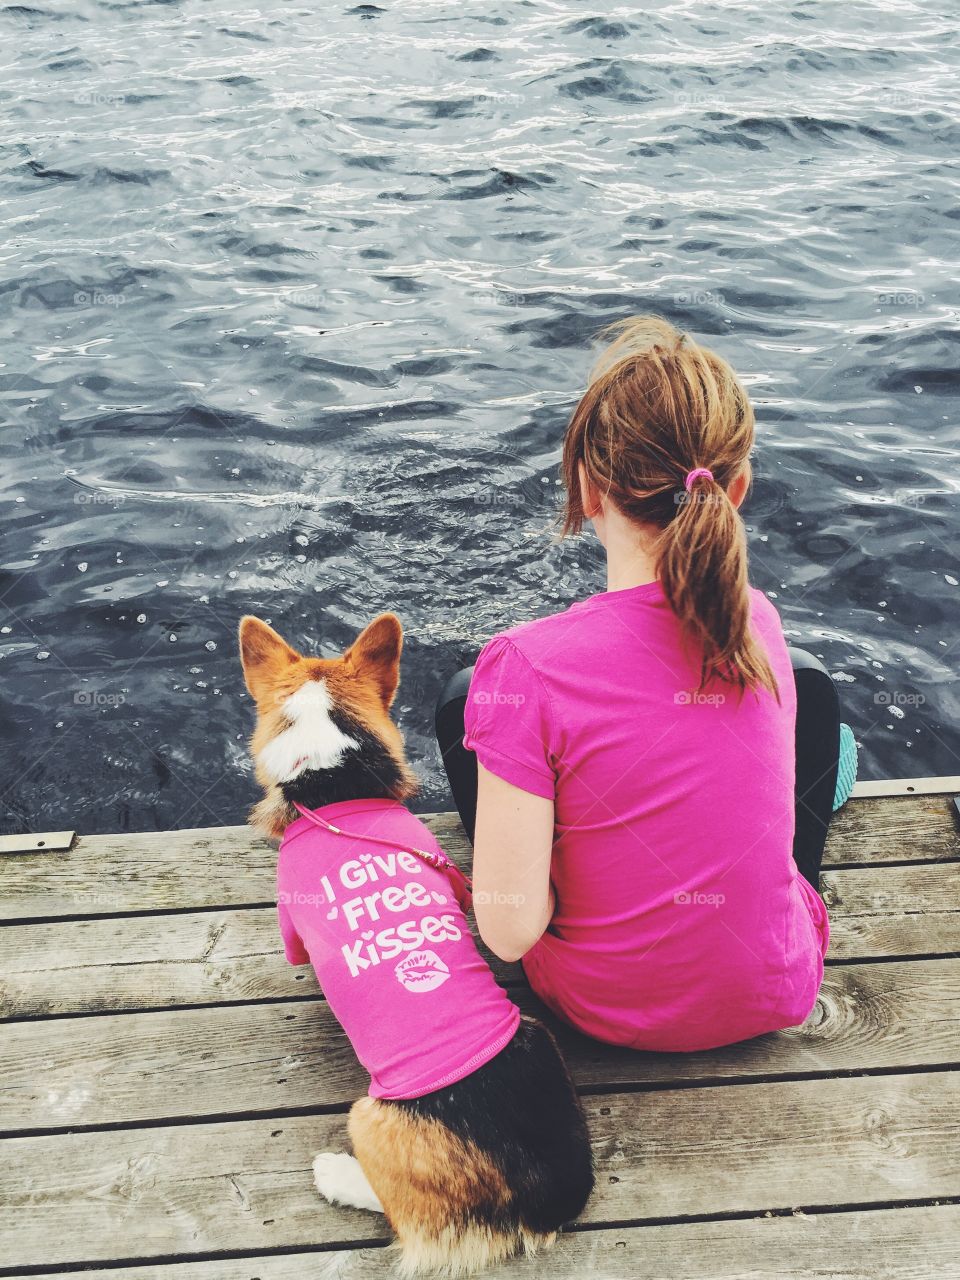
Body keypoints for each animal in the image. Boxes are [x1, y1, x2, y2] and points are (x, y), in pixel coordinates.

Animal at [240, 614, 593, 1274]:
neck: (332, 780)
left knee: (401, 1216)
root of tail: (535, 1205)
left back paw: (335, 1175)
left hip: (366, 1116)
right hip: (538, 1038)